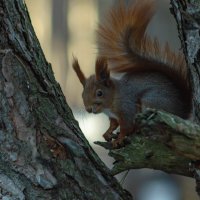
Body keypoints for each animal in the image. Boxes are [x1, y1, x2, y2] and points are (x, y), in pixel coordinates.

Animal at [72, 0, 191, 147]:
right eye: (82, 94)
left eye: (99, 93)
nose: (88, 109)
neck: (111, 102)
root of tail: (183, 111)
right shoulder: (113, 116)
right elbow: (113, 124)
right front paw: (107, 133)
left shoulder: (127, 108)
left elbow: (126, 126)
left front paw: (119, 139)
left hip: (152, 102)